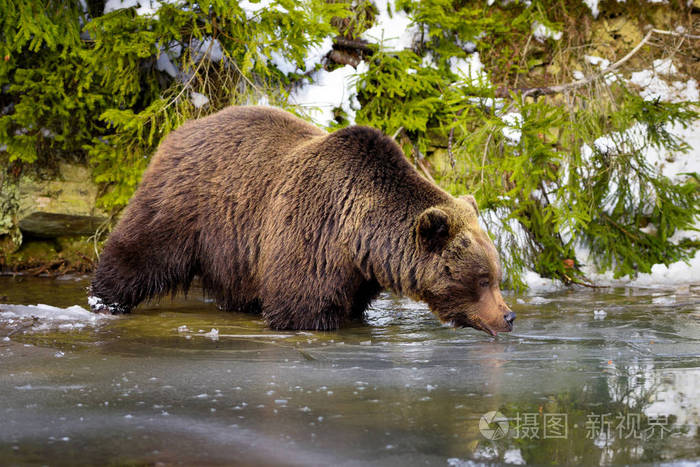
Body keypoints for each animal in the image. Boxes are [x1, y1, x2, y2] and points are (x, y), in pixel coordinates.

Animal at [89, 106, 515, 336]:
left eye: (496, 275)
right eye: (482, 279)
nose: (509, 316)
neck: (361, 239)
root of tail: (180, 129)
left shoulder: (356, 273)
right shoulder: (313, 234)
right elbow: (301, 307)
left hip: (235, 248)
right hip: (187, 205)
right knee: (142, 251)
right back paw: (103, 300)